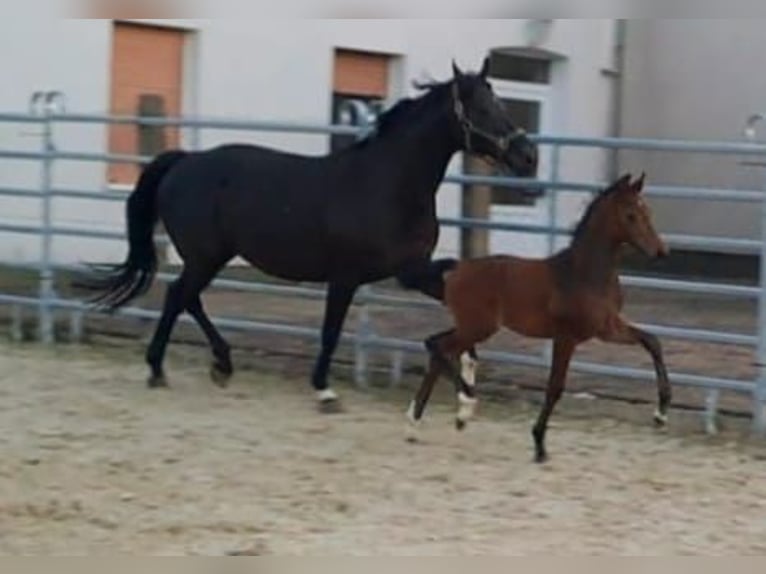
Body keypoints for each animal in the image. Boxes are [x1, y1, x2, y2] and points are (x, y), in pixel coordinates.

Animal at [76, 58, 536, 412]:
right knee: (178, 297)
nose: (527, 155)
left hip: (210, 257)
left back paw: (218, 365)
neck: (388, 183)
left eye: (499, 101)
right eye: (480, 107)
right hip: (205, 256)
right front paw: (324, 391)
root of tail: (184, 162)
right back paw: (162, 368)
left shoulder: (411, 269)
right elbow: (330, 331)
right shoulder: (348, 276)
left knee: (186, 298)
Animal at [408, 173, 672, 466]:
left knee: (438, 351)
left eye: (647, 211)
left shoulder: (607, 328)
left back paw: (420, 424)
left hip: (471, 327)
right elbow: (555, 387)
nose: (660, 251)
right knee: (436, 345)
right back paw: (464, 406)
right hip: (478, 327)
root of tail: (457, 268)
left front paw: (661, 414)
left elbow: (652, 341)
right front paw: (539, 445)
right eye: (630, 215)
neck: (584, 274)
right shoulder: (566, 337)